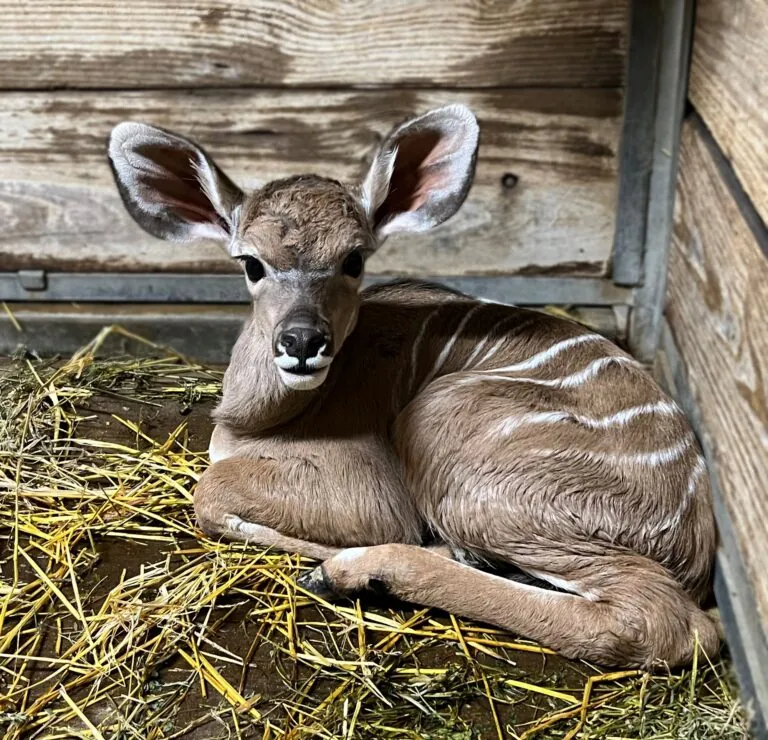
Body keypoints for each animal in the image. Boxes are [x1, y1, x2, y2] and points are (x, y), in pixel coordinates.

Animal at [108, 102, 720, 664]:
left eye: (354, 259)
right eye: (251, 263)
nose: (303, 341)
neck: (260, 418)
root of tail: (694, 536)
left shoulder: (370, 489)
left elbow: (210, 494)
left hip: (455, 440)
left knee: (662, 620)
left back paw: (351, 571)